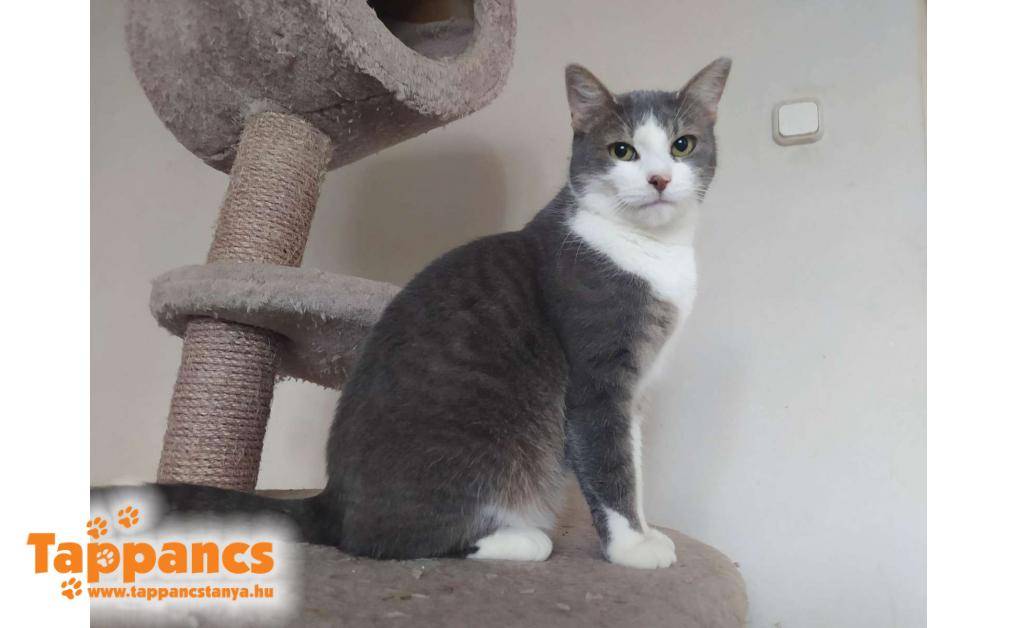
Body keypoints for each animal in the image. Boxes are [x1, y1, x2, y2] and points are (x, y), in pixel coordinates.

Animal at [136, 57, 731, 569]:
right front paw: (633, 549)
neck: (652, 251)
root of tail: (329, 500)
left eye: (682, 144)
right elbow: (611, 466)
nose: (659, 179)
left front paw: (647, 532)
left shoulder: (637, 387)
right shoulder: (598, 375)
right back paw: (521, 538)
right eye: (623, 150)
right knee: (384, 541)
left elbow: (634, 463)